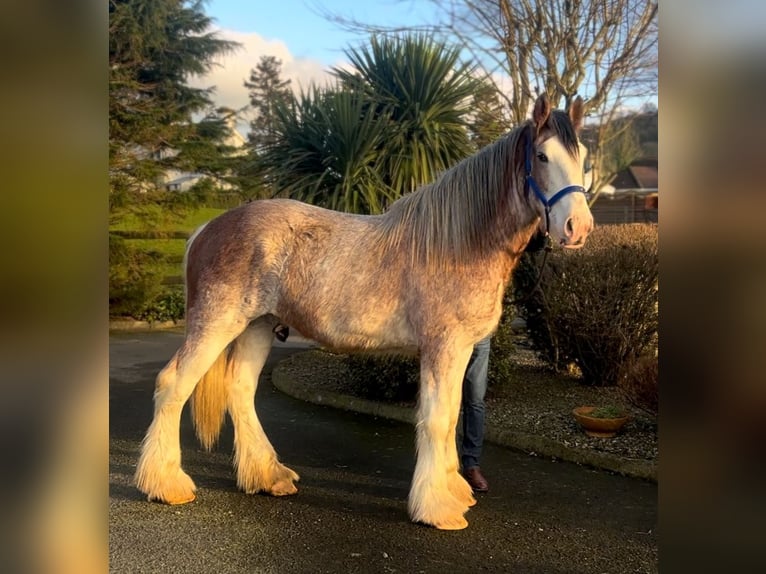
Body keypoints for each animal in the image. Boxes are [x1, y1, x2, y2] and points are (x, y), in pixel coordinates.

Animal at [134, 93, 594, 530]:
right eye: (542, 156)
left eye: (584, 158)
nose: (578, 228)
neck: (459, 241)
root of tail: (206, 229)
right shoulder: (442, 348)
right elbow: (437, 419)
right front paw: (437, 508)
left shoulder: (461, 350)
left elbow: (451, 417)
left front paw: (453, 491)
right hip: (217, 324)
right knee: (173, 384)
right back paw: (166, 484)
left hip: (258, 327)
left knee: (240, 390)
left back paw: (267, 476)